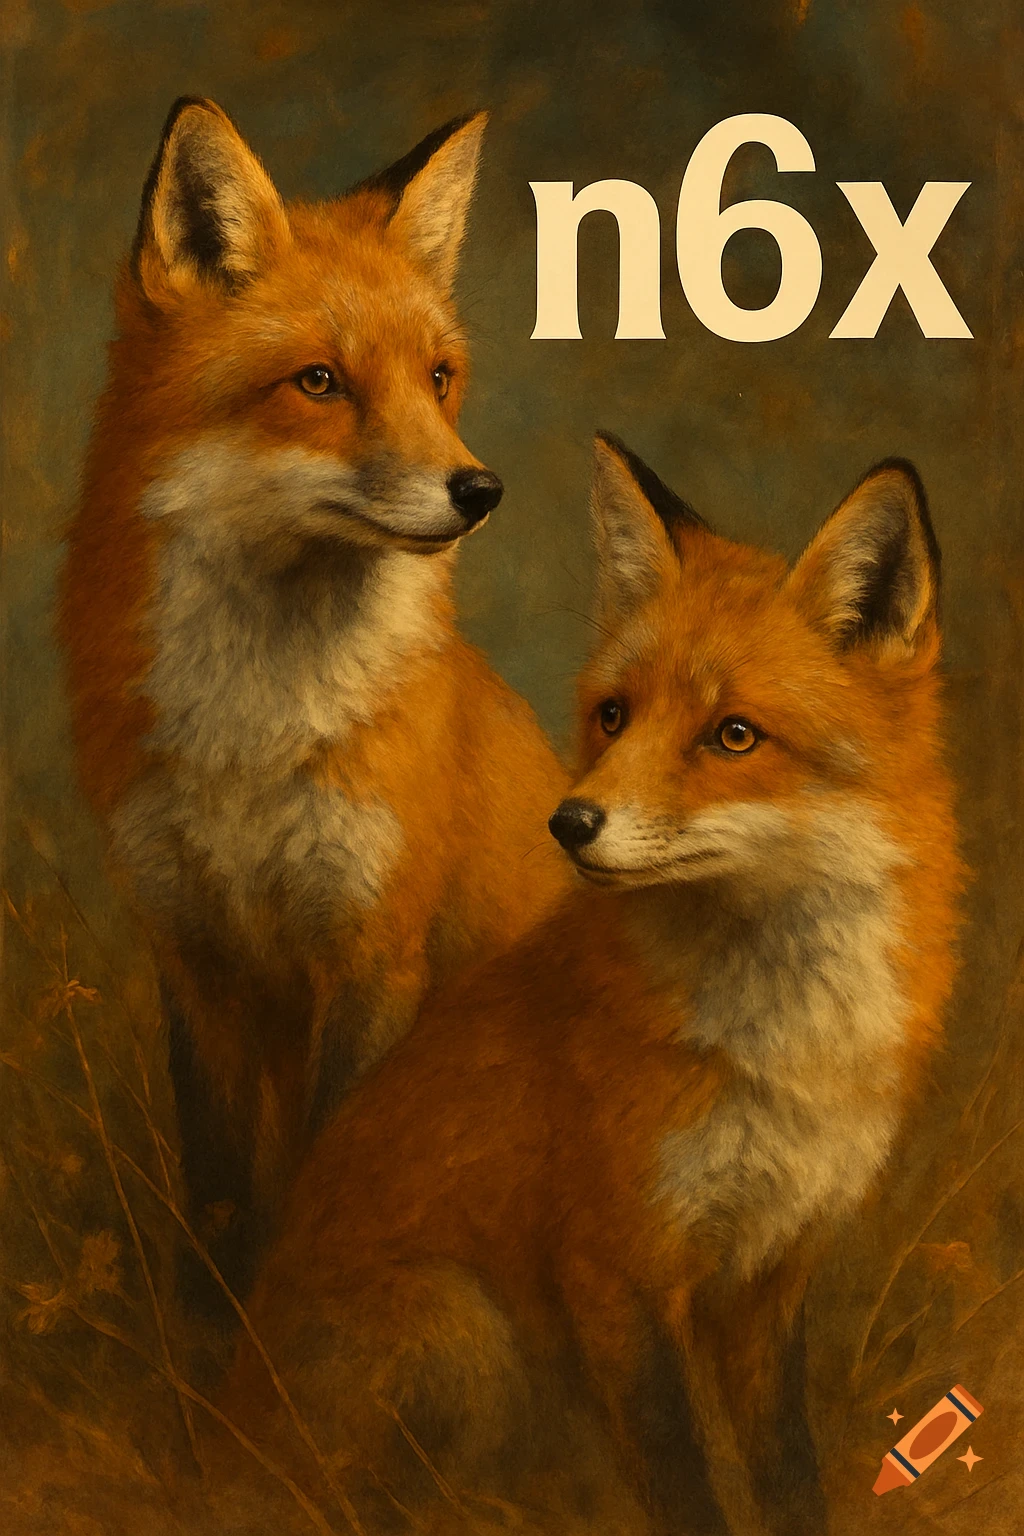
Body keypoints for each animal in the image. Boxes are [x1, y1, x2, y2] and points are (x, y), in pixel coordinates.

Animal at [58, 98, 568, 1301]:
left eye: (439, 378)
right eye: (320, 383)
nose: (480, 490)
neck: (253, 731)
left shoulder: (374, 949)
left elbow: (335, 1169)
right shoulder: (193, 951)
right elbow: (217, 1191)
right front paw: (204, 1340)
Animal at [219, 435, 962, 1535]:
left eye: (734, 735)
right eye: (614, 716)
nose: (569, 823)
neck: (776, 1040)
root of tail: (213, 1419)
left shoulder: (768, 1276)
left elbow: (786, 1471)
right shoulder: (615, 1269)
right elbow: (683, 1478)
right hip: (465, 1325)